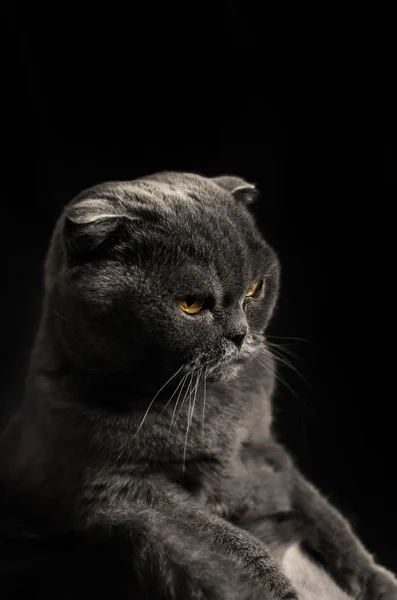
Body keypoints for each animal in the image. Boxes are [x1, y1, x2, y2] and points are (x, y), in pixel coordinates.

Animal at [0, 171, 396, 596]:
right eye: (190, 304)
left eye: (255, 290)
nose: (239, 335)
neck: (206, 407)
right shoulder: (120, 490)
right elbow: (237, 546)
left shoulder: (264, 449)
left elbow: (324, 515)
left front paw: (378, 581)